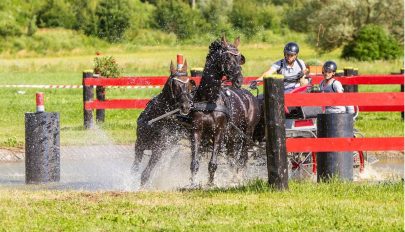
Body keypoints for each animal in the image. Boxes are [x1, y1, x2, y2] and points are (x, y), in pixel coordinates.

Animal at [189, 37, 258, 186]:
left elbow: (213, 163)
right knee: (232, 158)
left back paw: (238, 178)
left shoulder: (219, 132)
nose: (239, 80)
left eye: (239, 58)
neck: (209, 100)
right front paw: (192, 183)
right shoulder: (197, 130)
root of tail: (250, 95)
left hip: (246, 133)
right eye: (227, 58)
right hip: (231, 137)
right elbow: (194, 162)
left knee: (243, 157)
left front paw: (210, 184)